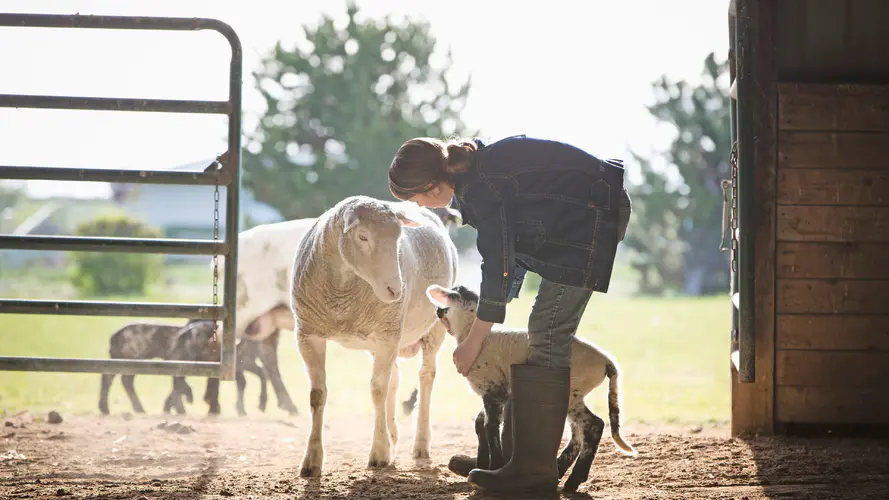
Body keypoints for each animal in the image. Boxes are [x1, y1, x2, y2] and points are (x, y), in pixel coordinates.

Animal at [292, 195, 458, 476]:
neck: (343, 289)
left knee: (426, 377)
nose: (396, 290)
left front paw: (379, 453)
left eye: (399, 237)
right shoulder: (308, 334)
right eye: (362, 236)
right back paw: (393, 437)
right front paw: (312, 460)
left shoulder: (387, 334)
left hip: (430, 327)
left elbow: (377, 390)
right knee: (395, 379)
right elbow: (317, 394)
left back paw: (420, 444)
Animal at [426, 286, 636, 492]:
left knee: (594, 425)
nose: (436, 310)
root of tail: (607, 362)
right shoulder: (499, 391)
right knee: (578, 432)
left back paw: (573, 479)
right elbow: (480, 422)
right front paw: (481, 463)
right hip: (575, 394)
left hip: (574, 389)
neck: (470, 332)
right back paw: (560, 472)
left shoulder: (492, 388)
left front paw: (492, 468)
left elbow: (490, 427)